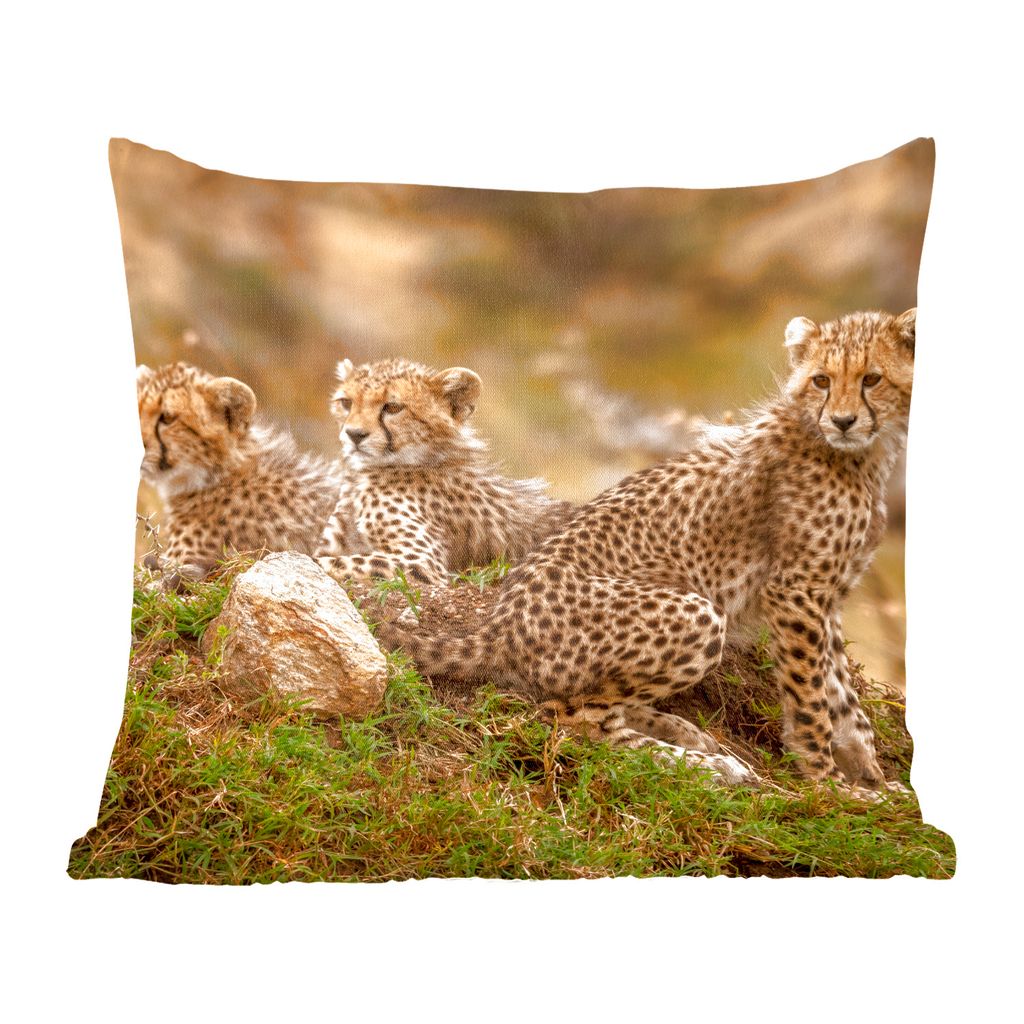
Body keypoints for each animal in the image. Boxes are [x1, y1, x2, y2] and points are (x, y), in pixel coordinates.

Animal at [315, 357, 573, 587]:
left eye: (393, 407)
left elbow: (326, 562)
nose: (354, 434)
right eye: (346, 402)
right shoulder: (333, 544)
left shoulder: (421, 562)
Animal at [375, 309, 917, 792]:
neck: (858, 454)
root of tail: (497, 628)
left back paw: (687, 735)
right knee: (577, 718)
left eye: (872, 379)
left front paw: (873, 776)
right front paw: (829, 783)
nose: (843, 421)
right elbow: (811, 697)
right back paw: (709, 768)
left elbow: (844, 696)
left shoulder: (828, 596)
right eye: (821, 380)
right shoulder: (796, 591)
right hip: (698, 614)